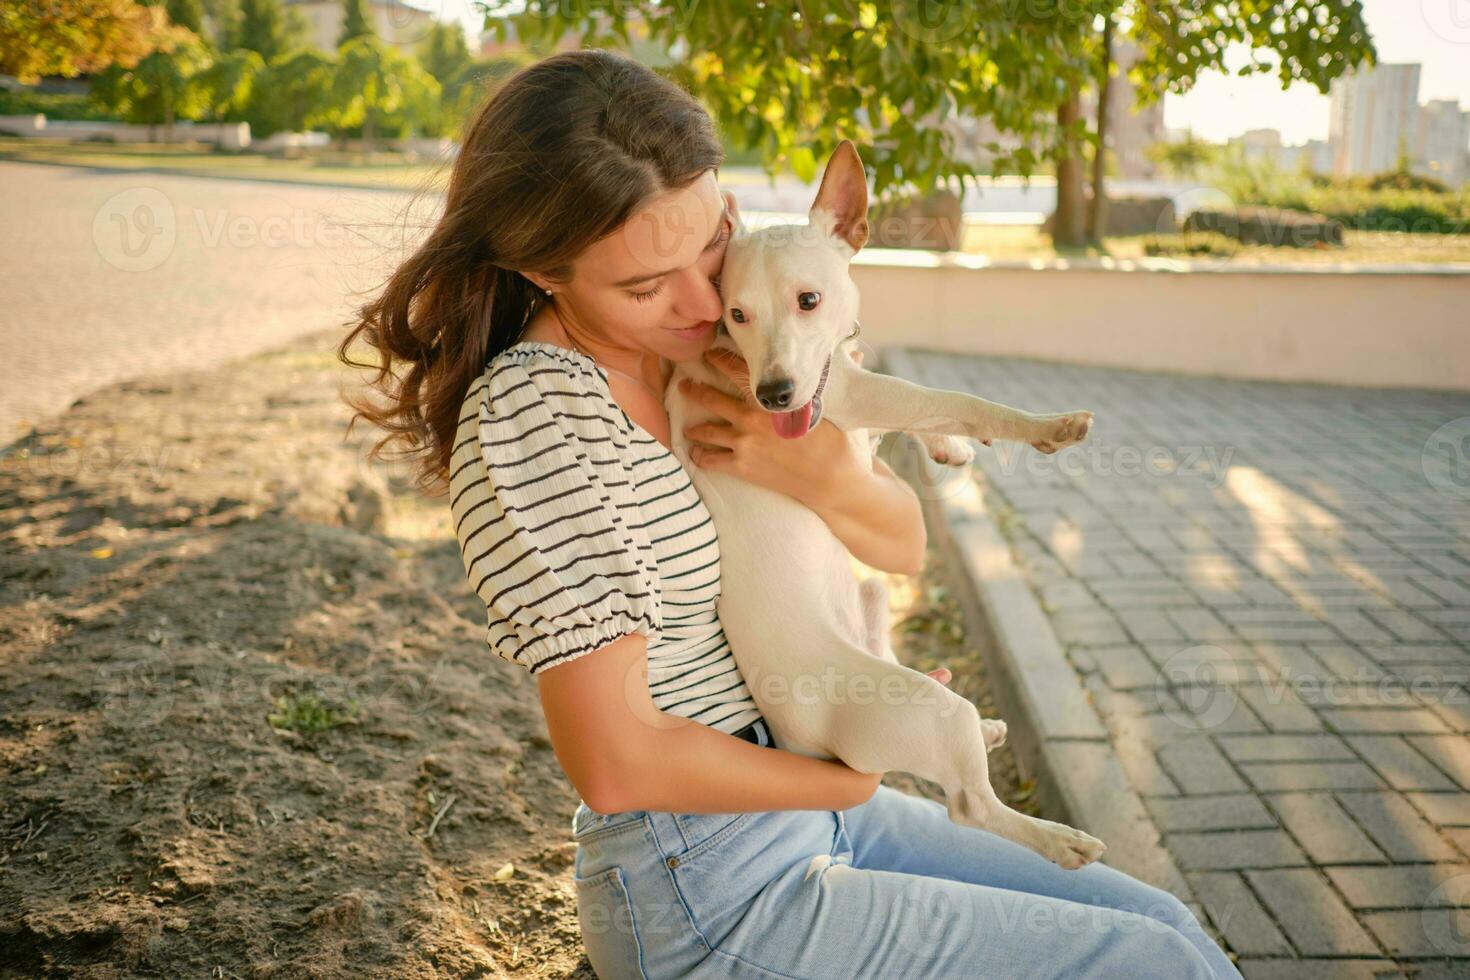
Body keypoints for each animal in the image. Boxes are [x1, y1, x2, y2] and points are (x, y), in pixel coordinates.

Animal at [667, 139, 1105, 863]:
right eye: (736, 314)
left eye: (808, 300)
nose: (774, 395)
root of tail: (804, 745)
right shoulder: (856, 395)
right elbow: (954, 400)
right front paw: (1045, 428)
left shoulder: (853, 403)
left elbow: (921, 420)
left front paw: (950, 450)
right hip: (925, 713)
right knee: (970, 806)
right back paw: (1057, 840)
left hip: (875, 601)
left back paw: (988, 732)